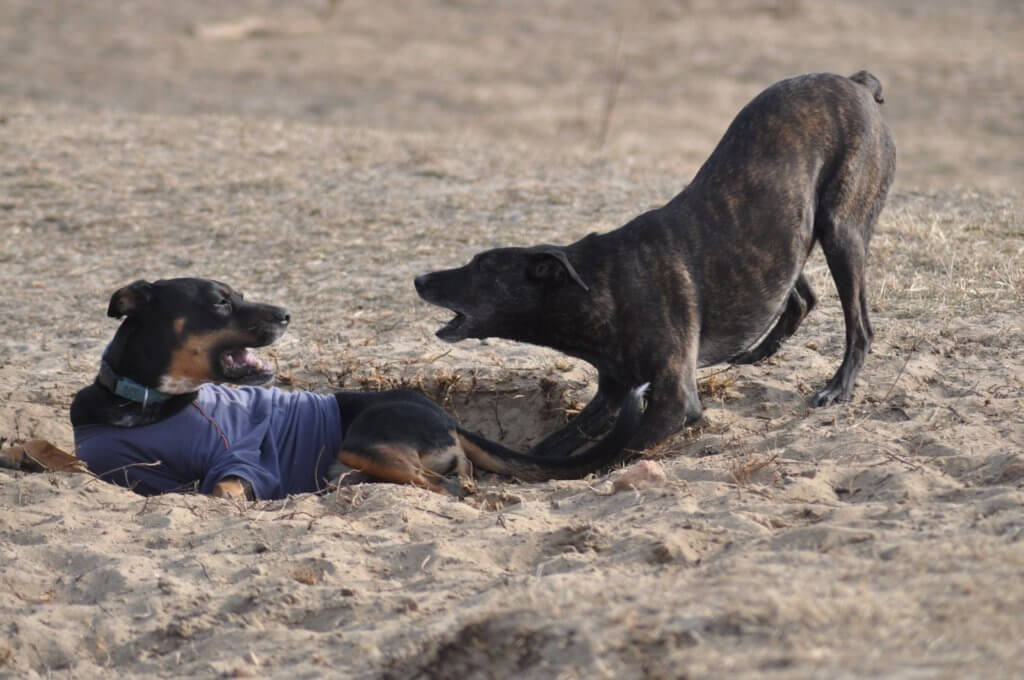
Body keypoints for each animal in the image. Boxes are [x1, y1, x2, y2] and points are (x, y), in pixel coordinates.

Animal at [70, 276, 647, 499]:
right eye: (219, 302)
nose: (286, 313)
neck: (147, 404)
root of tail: (444, 413)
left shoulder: (240, 462)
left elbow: (219, 489)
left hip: (361, 440)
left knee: (445, 484)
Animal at [415, 71, 897, 454]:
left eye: (483, 267)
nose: (420, 279)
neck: (602, 285)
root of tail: (857, 83)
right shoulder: (611, 393)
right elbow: (552, 446)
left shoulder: (673, 401)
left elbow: (619, 451)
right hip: (786, 238)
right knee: (801, 295)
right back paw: (757, 351)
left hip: (841, 232)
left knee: (860, 326)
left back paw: (837, 388)